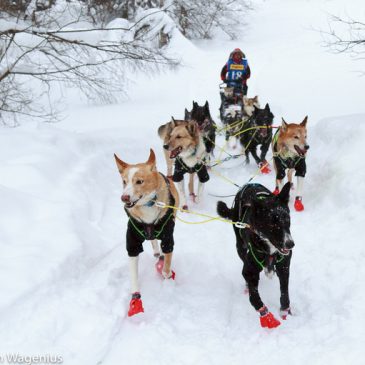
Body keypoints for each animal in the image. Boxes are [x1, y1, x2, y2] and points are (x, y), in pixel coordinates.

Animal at [112, 148, 178, 316]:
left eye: (139, 181)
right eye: (124, 181)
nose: (124, 197)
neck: (148, 205)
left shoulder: (168, 237)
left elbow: (167, 264)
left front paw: (166, 273)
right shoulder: (133, 240)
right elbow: (133, 274)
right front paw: (135, 299)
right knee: (153, 240)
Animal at [216, 182, 292, 328]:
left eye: (287, 220)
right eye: (272, 224)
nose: (290, 244)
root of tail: (249, 183)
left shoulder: (284, 267)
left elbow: (285, 292)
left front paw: (285, 312)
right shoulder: (249, 270)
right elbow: (254, 297)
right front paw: (267, 317)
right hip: (240, 246)